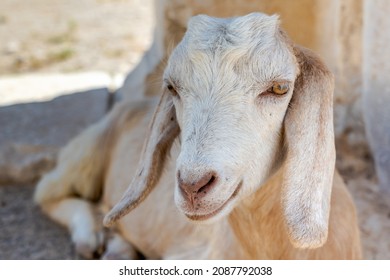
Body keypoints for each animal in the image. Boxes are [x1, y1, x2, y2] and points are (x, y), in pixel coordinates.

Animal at [34, 12, 362, 258]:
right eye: (172, 87)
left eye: (280, 88)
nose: (193, 185)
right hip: (86, 154)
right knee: (48, 192)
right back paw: (90, 236)